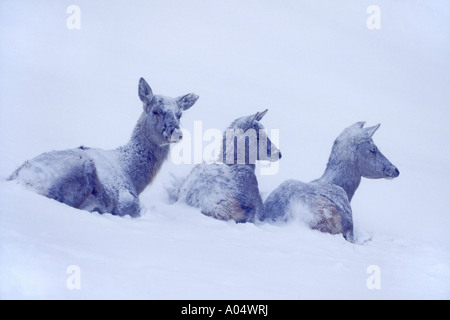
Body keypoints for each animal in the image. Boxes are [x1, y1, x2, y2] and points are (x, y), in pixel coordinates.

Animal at [7, 78, 199, 218]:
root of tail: (22, 179)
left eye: (179, 114)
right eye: (156, 111)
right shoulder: (128, 202)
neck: (132, 175)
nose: (177, 133)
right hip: (81, 167)